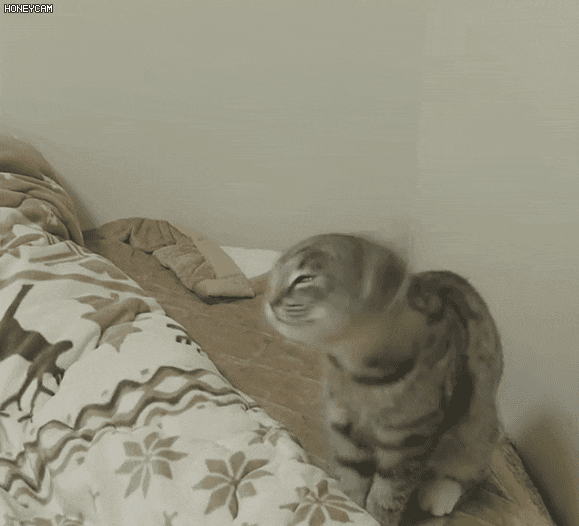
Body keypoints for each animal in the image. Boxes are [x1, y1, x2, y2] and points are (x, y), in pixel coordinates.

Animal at [264, 233, 503, 525]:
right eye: (275, 273)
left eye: (305, 278)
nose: (270, 300)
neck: (360, 374)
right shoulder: (343, 425)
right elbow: (352, 475)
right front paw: (350, 507)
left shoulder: (409, 439)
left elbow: (389, 491)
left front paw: (374, 517)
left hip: (478, 424)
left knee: (473, 470)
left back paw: (439, 494)